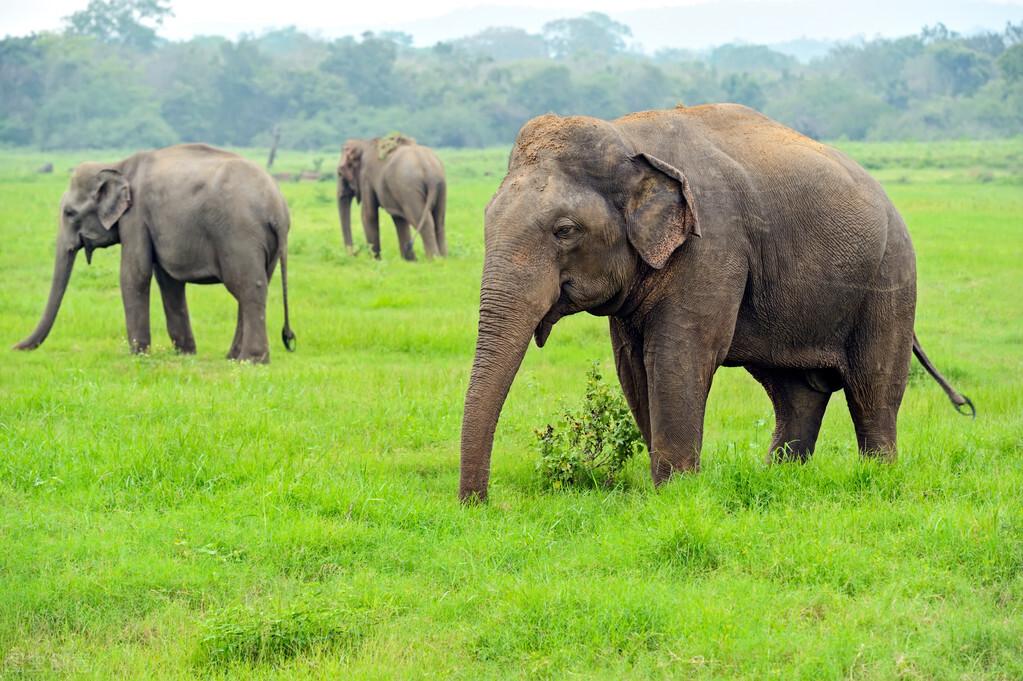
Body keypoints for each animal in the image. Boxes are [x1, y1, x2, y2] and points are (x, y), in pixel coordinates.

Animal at [14, 142, 296, 359]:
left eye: (69, 213)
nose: (14, 347)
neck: (118, 165)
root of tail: (278, 209)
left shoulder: (135, 215)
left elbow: (134, 274)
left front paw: (138, 355)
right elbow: (168, 281)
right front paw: (185, 354)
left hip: (239, 234)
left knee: (248, 287)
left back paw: (252, 360)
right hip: (265, 244)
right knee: (252, 287)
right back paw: (233, 358)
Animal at [460, 103, 969, 501]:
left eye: (565, 231)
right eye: (485, 219)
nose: (479, 505)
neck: (628, 136)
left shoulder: (712, 245)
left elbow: (679, 355)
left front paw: (675, 493)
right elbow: (632, 366)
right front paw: (668, 489)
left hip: (891, 279)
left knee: (873, 390)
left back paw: (878, 479)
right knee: (795, 393)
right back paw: (780, 479)